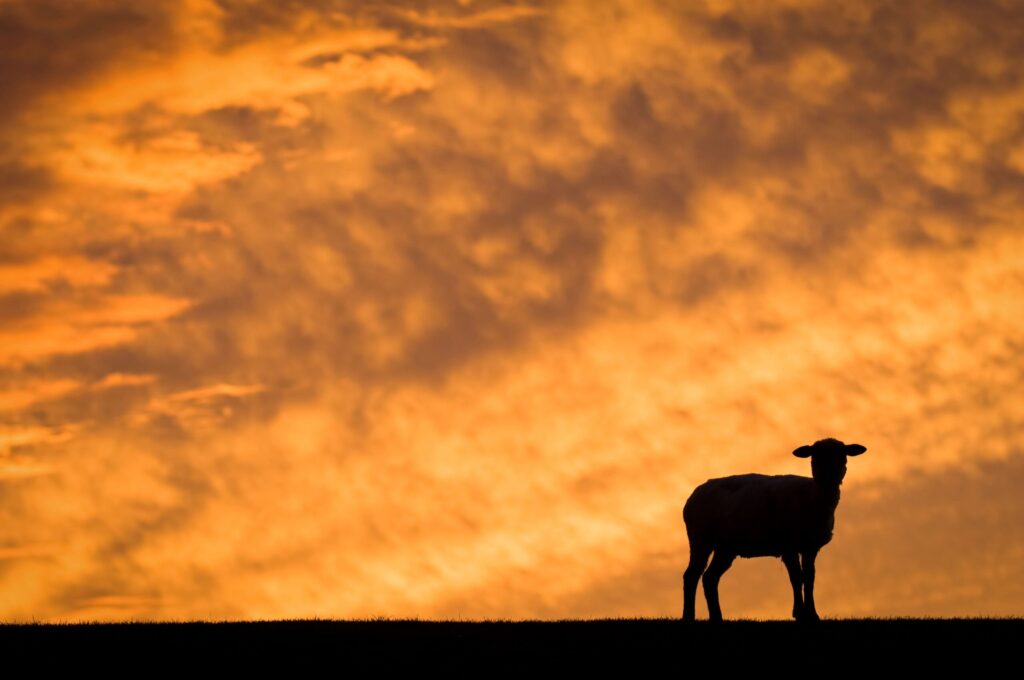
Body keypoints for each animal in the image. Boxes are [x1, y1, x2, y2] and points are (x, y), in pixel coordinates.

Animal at [681, 437, 867, 622]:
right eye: (814, 458)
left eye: (842, 457)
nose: (829, 475)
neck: (813, 496)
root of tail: (692, 496)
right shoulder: (789, 545)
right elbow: (797, 578)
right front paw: (799, 613)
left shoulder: (810, 547)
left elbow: (809, 578)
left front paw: (813, 614)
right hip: (700, 539)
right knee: (691, 575)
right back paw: (688, 616)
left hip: (725, 547)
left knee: (709, 578)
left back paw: (717, 617)